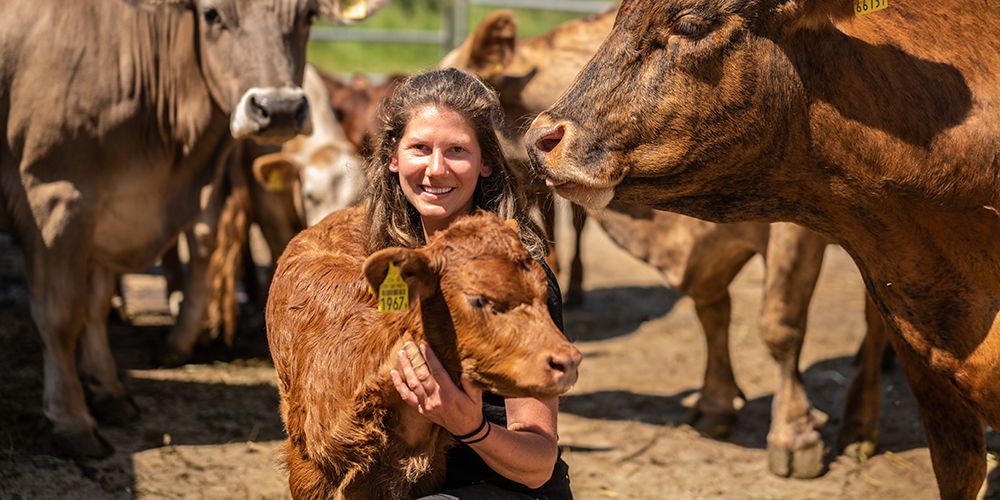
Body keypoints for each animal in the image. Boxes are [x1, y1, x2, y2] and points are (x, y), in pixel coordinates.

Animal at [0, 0, 382, 458]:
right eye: (212, 15)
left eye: (307, 15)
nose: (279, 108)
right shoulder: (57, 200)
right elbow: (60, 315)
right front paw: (71, 421)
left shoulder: (109, 211)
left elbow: (94, 305)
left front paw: (109, 389)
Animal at [528, 1, 996, 498]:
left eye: (691, 24)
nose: (541, 138)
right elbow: (712, 309)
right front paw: (716, 405)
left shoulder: (808, 233)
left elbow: (780, 325)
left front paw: (794, 435)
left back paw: (858, 424)